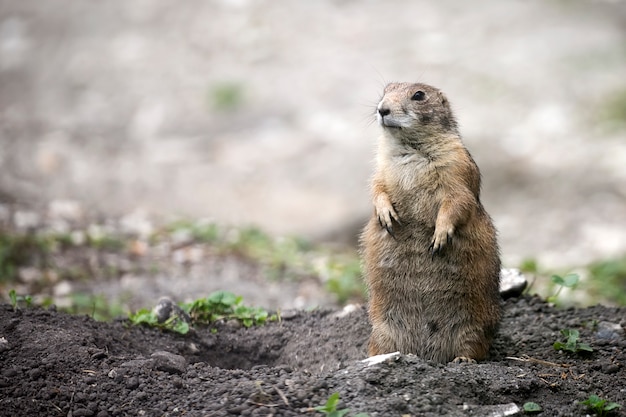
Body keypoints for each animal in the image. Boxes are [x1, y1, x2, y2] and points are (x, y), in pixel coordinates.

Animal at [358, 81, 500, 360]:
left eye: (419, 95)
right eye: (386, 90)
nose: (382, 109)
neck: (409, 148)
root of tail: (426, 353)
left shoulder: (457, 166)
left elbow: (457, 199)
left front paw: (439, 237)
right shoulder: (380, 169)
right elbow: (377, 187)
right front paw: (386, 216)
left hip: (472, 327)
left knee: (474, 347)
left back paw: (462, 359)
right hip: (382, 330)